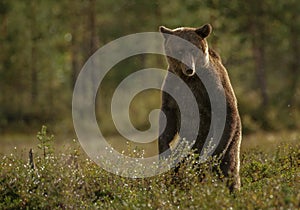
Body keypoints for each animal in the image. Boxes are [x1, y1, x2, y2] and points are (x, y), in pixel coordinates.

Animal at [158, 23, 243, 192]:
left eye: (192, 49)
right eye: (179, 50)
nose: (189, 68)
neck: (189, 79)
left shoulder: (212, 87)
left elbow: (224, 112)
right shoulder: (172, 89)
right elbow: (167, 117)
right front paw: (164, 149)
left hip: (232, 139)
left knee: (229, 168)